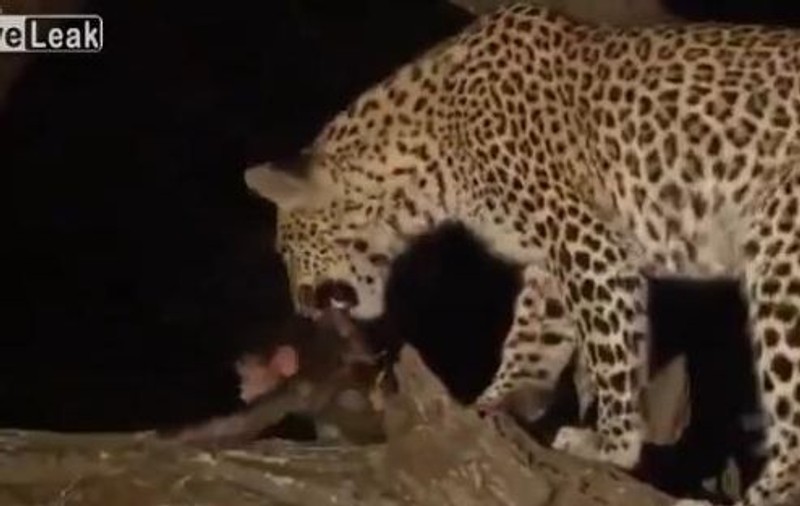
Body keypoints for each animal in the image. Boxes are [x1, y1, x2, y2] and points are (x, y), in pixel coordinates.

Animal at [243, 4, 800, 506]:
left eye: (284, 248)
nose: (301, 306)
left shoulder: (590, 243)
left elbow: (611, 349)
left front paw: (612, 444)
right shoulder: (550, 261)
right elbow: (532, 337)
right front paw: (495, 402)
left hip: (780, 256)